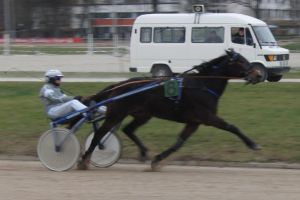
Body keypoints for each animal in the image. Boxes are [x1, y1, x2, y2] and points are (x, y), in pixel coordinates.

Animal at [77, 50, 262, 170]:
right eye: (240, 61)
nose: (258, 74)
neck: (203, 84)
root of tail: (118, 85)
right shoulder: (208, 117)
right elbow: (232, 127)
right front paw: (253, 144)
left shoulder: (194, 122)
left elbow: (178, 143)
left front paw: (157, 160)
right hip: (116, 114)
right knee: (100, 134)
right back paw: (84, 160)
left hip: (143, 114)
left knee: (128, 129)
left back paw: (143, 152)